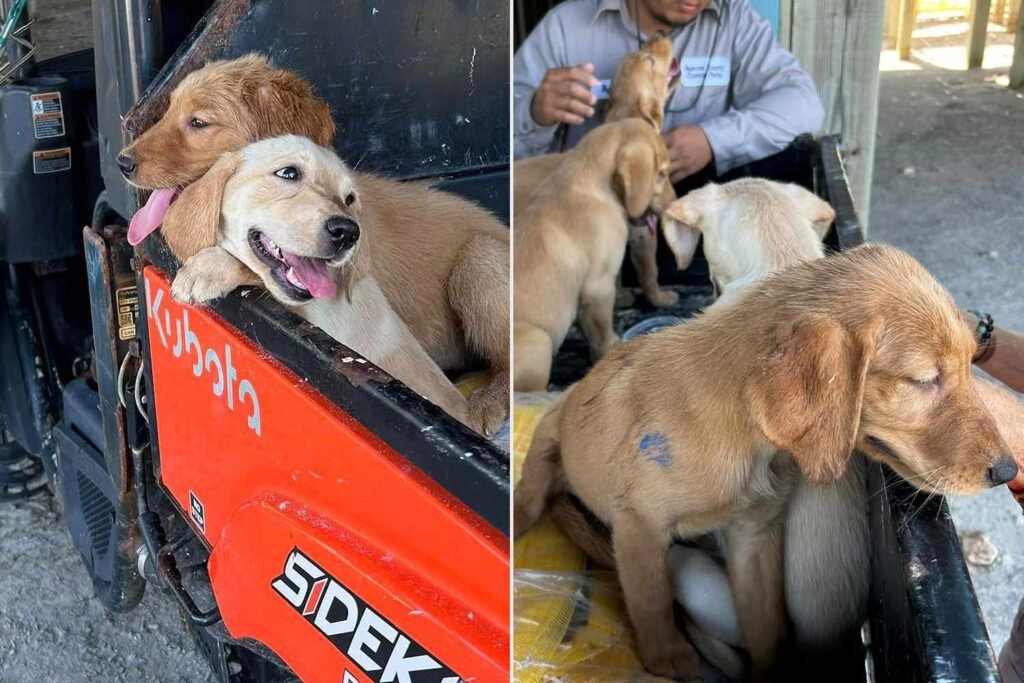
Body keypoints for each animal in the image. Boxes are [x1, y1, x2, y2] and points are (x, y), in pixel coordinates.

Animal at [512, 34, 679, 307]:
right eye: (649, 60)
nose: (659, 34)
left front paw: (620, 296)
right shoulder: (642, 230)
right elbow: (649, 269)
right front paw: (659, 297)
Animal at [516, 245, 1019, 679]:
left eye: (971, 363)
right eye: (923, 380)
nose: (1008, 472)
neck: (746, 440)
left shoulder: (753, 537)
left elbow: (767, 624)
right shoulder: (639, 524)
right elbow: (650, 600)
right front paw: (667, 657)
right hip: (551, 432)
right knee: (535, 479)